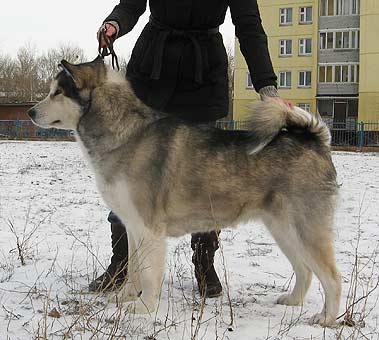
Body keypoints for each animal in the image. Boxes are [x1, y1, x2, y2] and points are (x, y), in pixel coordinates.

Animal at [28, 57, 342, 326]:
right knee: (305, 270)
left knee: (332, 277)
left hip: (306, 229)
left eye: (57, 93)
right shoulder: (132, 226)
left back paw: (326, 318)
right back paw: (293, 301)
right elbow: (132, 267)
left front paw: (144, 307)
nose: (30, 111)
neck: (126, 133)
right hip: (283, 230)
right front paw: (124, 297)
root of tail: (315, 140)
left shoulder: (149, 229)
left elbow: (149, 274)